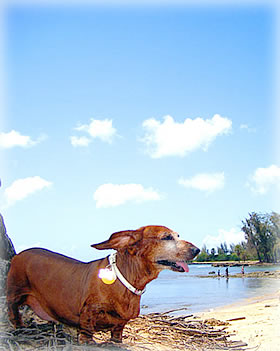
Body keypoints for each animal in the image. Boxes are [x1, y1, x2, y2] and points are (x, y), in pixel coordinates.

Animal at [6, 226, 199, 344]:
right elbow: (86, 331)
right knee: (12, 309)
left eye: (178, 235)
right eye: (166, 237)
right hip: (15, 292)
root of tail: (20, 254)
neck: (126, 279)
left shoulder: (121, 322)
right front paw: (88, 341)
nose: (197, 250)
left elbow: (118, 331)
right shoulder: (88, 312)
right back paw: (19, 326)